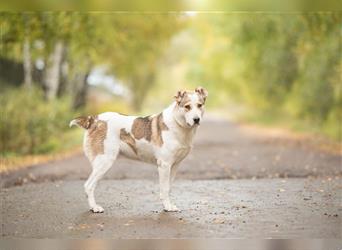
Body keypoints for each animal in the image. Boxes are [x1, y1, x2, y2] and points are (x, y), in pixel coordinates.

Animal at [69, 87, 207, 212]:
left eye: (199, 105)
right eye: (187, 106)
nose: (196, 119)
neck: (178, 124)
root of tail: (94, 119)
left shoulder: (174, 165)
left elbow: (168, 188)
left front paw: (168, 205)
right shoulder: (164, 165)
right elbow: (164, 188)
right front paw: (167, 207)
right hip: (104, 161)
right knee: (88, 186)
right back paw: (95, 208)